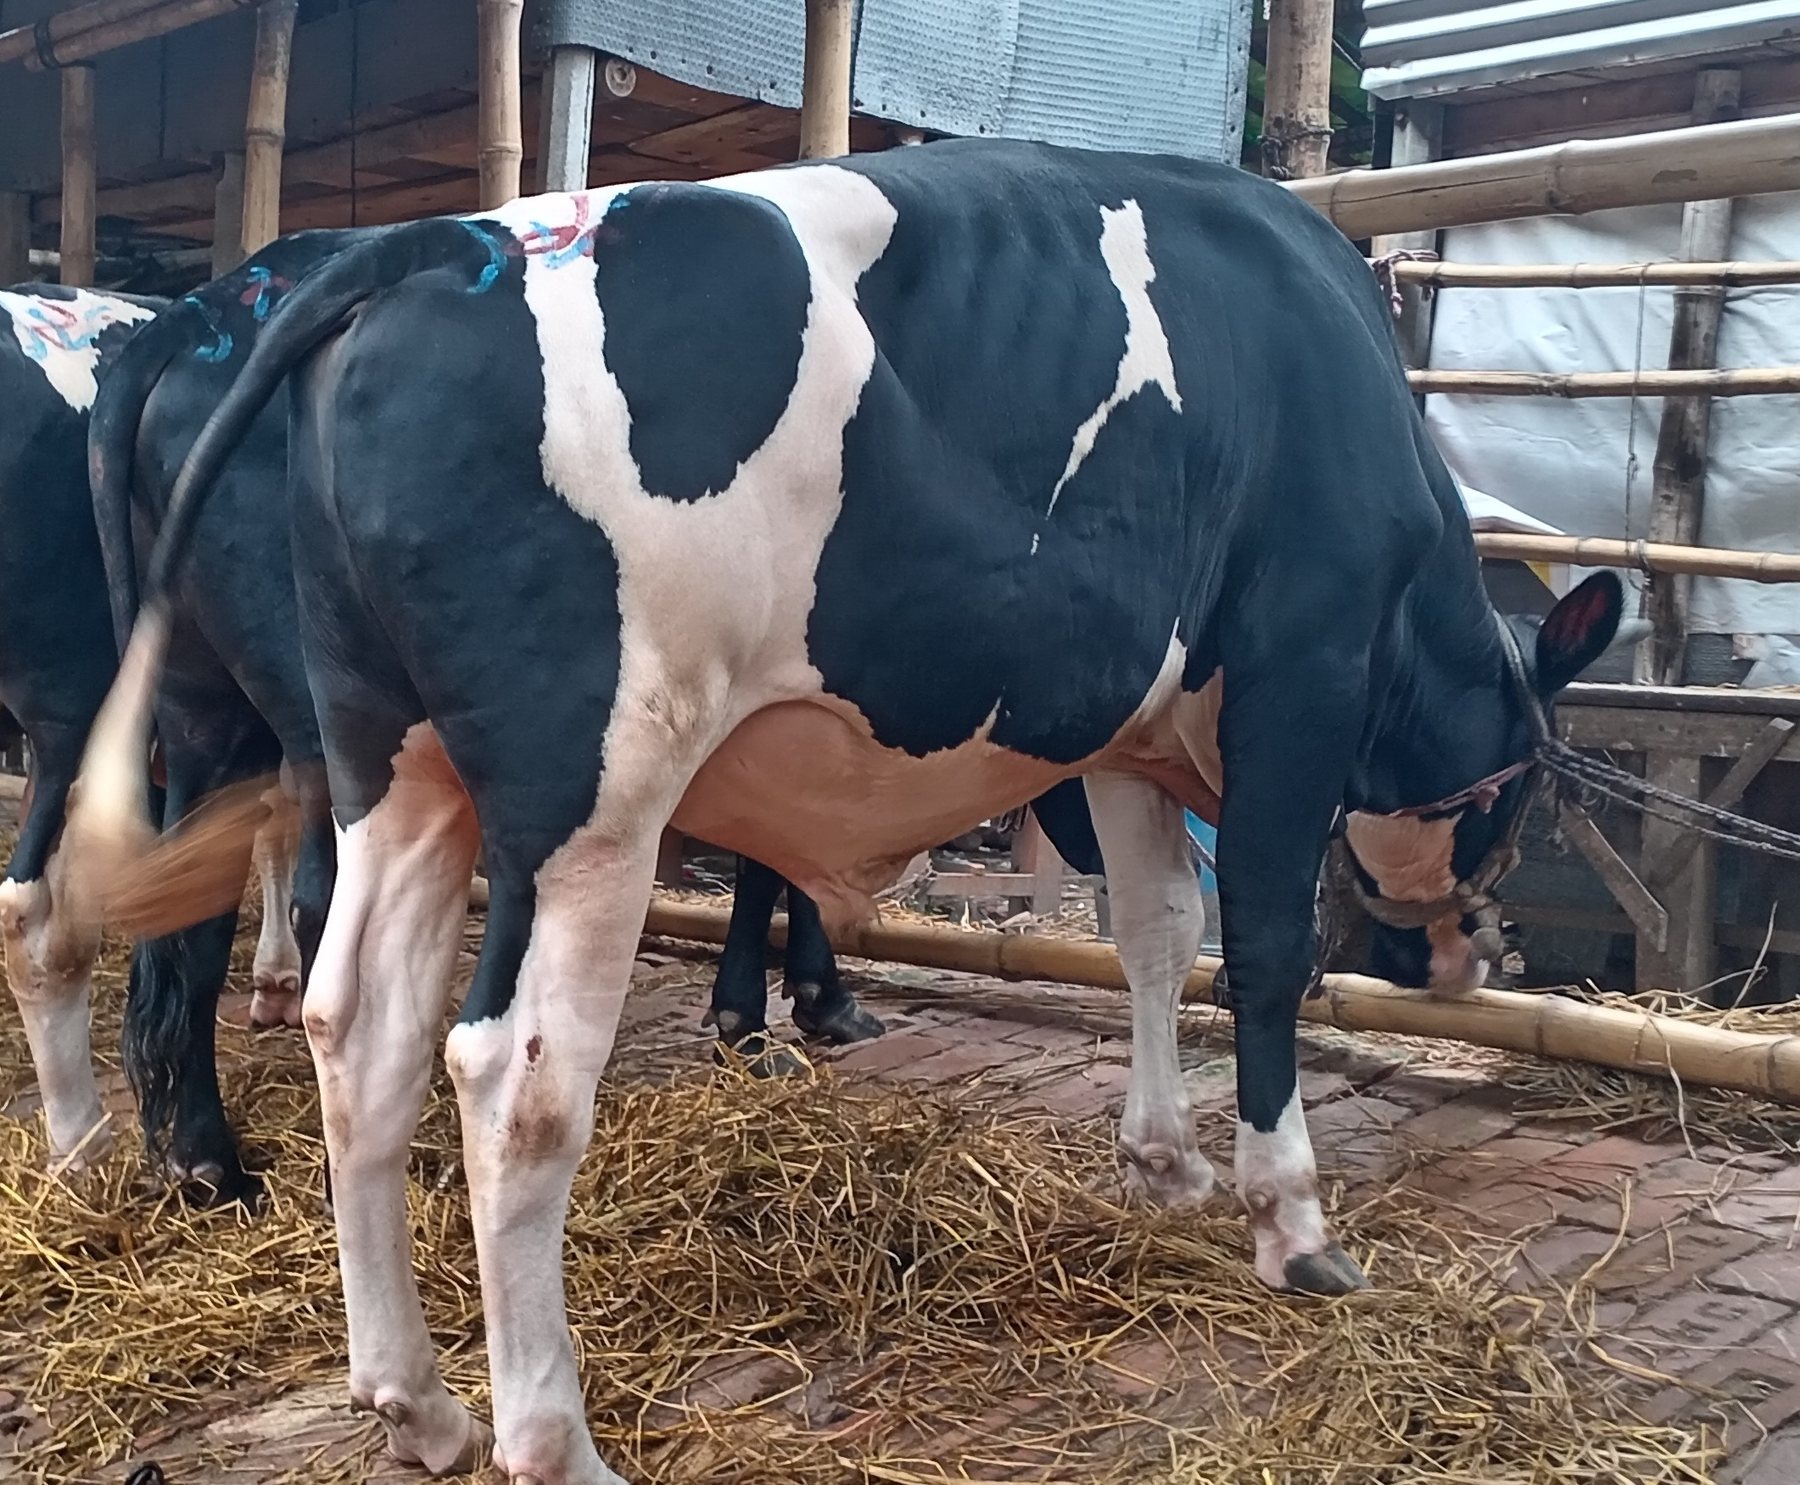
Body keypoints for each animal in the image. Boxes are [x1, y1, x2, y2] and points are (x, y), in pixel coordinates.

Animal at [69, 140, 1623, 1483]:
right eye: (1533, 777)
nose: (1463, 950)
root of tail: (435, 242)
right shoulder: (1300, 672)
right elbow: (1261, 953)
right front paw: (1291, 1221)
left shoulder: (1131, 729)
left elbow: (1153, 933)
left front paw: (1163, 1159)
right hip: (591, 791)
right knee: (511, 1075)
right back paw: (550, 1441)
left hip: (391, 762)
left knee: (362, 1033)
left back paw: (417, 1404)